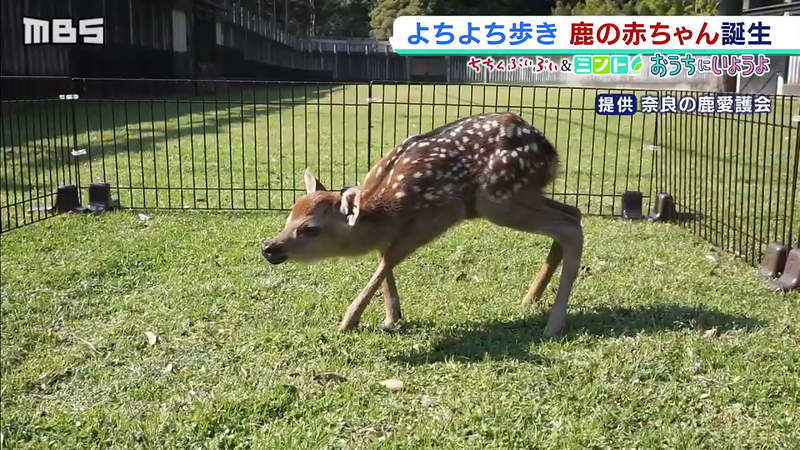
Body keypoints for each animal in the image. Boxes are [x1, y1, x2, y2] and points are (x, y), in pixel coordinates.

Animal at [261, 113, 583, 338]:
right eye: (288, 216)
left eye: (310, 229)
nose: (269, 247)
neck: (389, 208)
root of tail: (550, 150)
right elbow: (383, 254)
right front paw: (391, 316)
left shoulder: (440, 214)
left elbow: (390, 257)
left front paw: (349, 320)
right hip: (522, 193)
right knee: (574, 212)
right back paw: (530, 298)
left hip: (496, 199)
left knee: (569, 227)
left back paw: (552, 326)